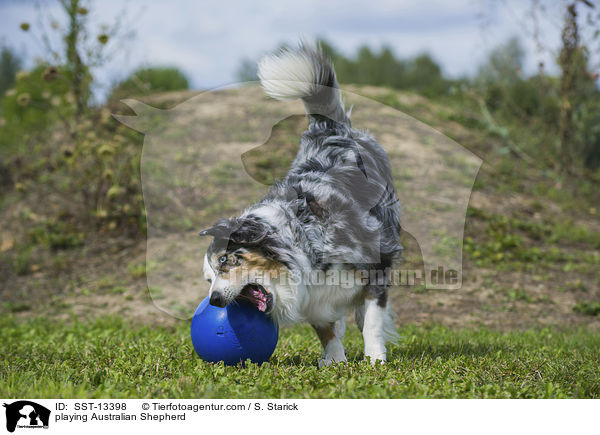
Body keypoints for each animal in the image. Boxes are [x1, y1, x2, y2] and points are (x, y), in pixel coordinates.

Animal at [199, 42, 400, 366]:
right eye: (209, 278)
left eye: (227, 260)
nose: (214, 301)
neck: (300, 236)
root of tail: (330, 130)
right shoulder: (312, 296)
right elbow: (325, 329)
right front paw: (335, 361)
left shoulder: (375, 263)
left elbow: (371, 321)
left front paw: (375, 360)